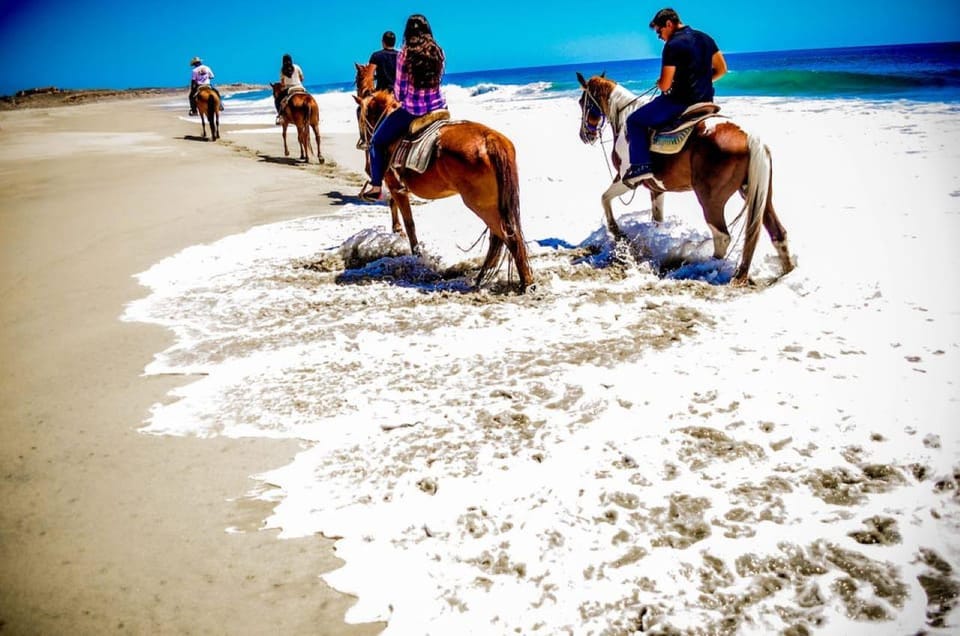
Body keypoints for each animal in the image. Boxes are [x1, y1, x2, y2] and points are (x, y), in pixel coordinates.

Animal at [354, 89, 532, 290]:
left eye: (360, 115)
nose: (363, 142)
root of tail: (490, 139)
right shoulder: (397, 188)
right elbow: (396, 209)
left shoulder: (395, 187)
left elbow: (410, 224)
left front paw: (417, 256)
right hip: (495, 202)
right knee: (501, 235)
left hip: (481, 205)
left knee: (510, 236)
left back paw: (526, 282)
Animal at [572, 72, 792, 286]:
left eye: (582, 102)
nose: (584, 135)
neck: (625, 121)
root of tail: (748, 136)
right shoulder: (656, 189)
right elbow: (657, 220)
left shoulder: (627, 180)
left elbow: (604, 198)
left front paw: (617, 232)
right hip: (757, 194)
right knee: (777, 233)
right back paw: (786, 272)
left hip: (710, 199)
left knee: (722, 236)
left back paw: (707, 267)